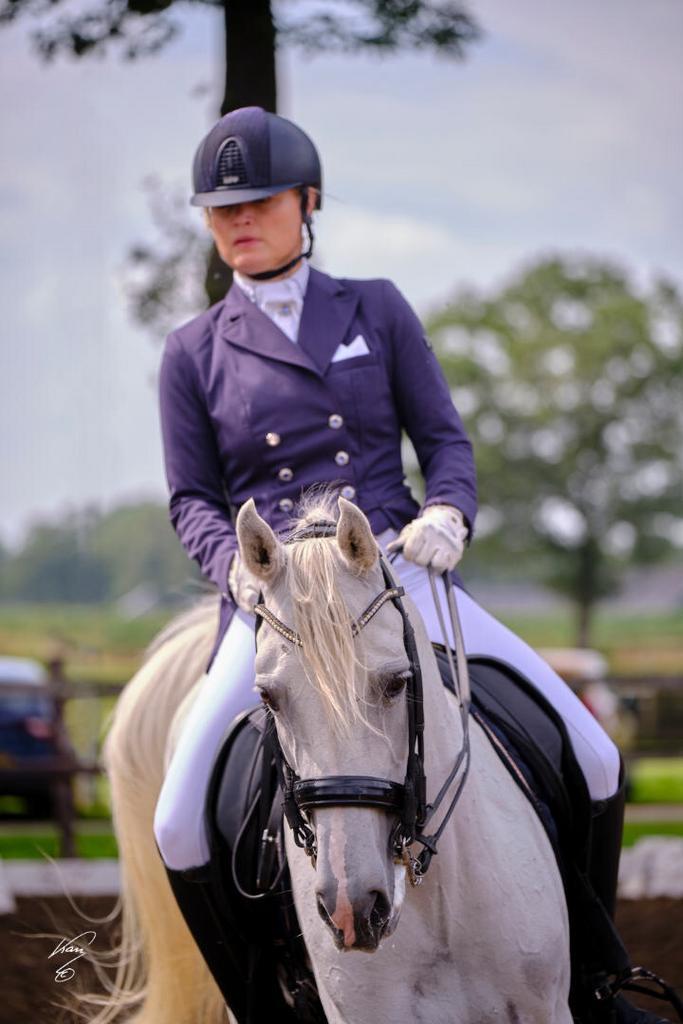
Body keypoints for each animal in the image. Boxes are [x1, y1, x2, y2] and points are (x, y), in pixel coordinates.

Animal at [75, 491, 572, 1024]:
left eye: (396, 683)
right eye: (267, 697)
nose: (353, 908)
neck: (435, 899)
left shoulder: (548, 1009)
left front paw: (435, 536)